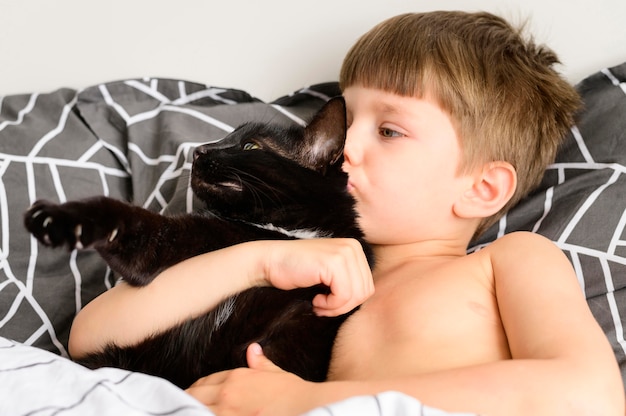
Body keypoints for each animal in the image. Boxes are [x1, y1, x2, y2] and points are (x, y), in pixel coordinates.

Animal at [24, 96, 372, 386]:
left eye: (250, 146)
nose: (199, 150)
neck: (289, 230)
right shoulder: (163, 249)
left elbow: (126, 216)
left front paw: (57, 218)